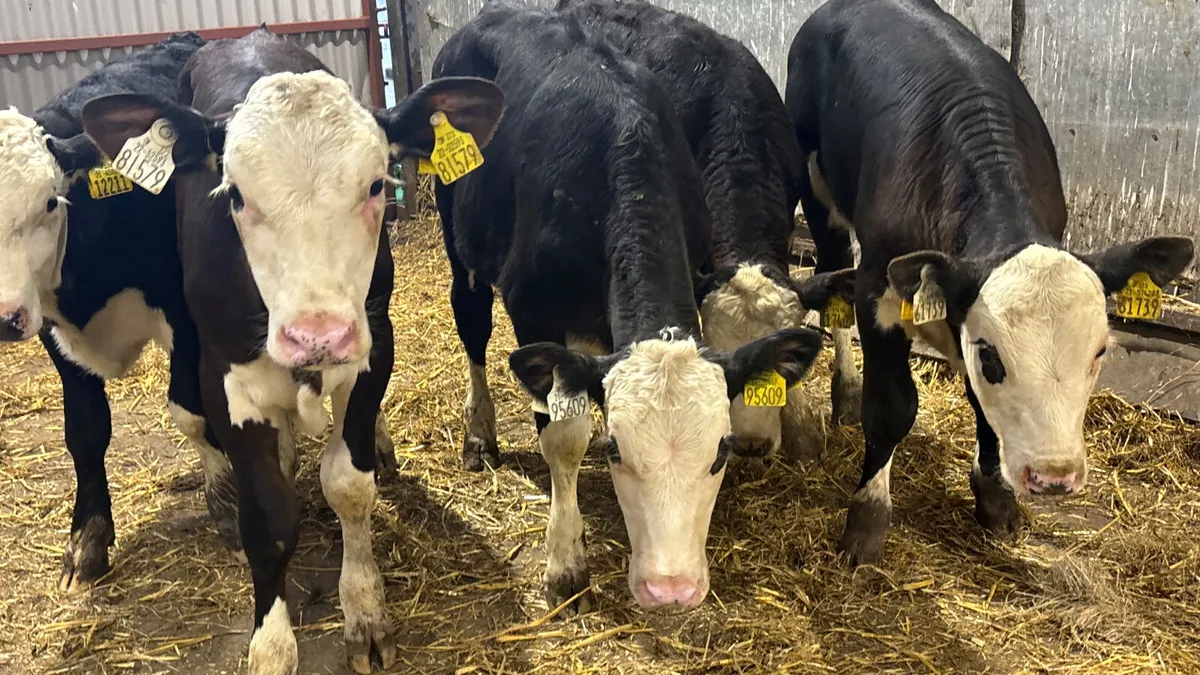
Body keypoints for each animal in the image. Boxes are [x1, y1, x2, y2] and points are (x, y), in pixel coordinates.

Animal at [0, 33, 246, 592]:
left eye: (49, 203)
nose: (2, 317)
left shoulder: (184, 311)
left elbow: (191, 410)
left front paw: (228, 506)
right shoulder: (50, 326)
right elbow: (85, 430)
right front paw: (87, 540)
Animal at [80, 29, 505, 674]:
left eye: (376, 184)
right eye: (234, 195)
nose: (317, 336)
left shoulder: (373, 346)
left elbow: (349, 485)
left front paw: (365, 612)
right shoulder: (226, 378)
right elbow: (268, 520)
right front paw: (272, 643)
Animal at [432, 1, 826, 614]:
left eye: (719, 452)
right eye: (617, 451)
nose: (671, 588)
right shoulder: (533, 309)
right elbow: (562, 435)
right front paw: (566, 565)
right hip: (459, 241)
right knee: (471, 324)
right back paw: (479, 436)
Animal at [786, 0, 1195, 566]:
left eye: (1099, 352)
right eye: (993, 357)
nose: (1053, 477)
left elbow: (981, 405)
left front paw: (995, 497)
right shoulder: (878, 289)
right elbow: (891, 408)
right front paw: (866, 522)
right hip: (816, 188)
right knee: (833, 278)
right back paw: (844, 391)